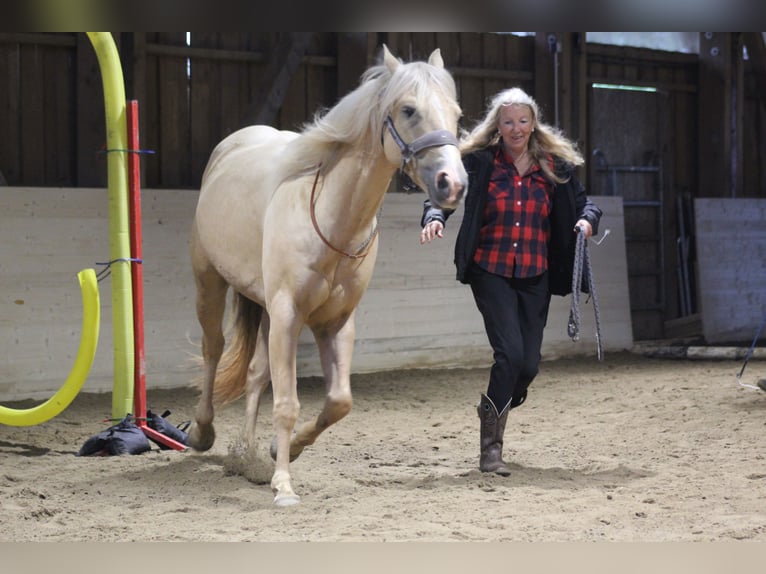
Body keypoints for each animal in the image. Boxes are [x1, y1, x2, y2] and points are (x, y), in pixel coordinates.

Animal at [187, 44, 468, 506]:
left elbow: (339, 401)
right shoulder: (289, 314)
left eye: (457, 114)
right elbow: (287, 403)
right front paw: (284, 485)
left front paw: (284, 451)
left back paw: (247, 457)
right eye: (409, 109)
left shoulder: (333, 322)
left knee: (255, 374)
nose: (453, 184)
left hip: (265, 310)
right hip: (210, 283)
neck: (333, 217)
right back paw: (202, 431)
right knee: (213, 350)